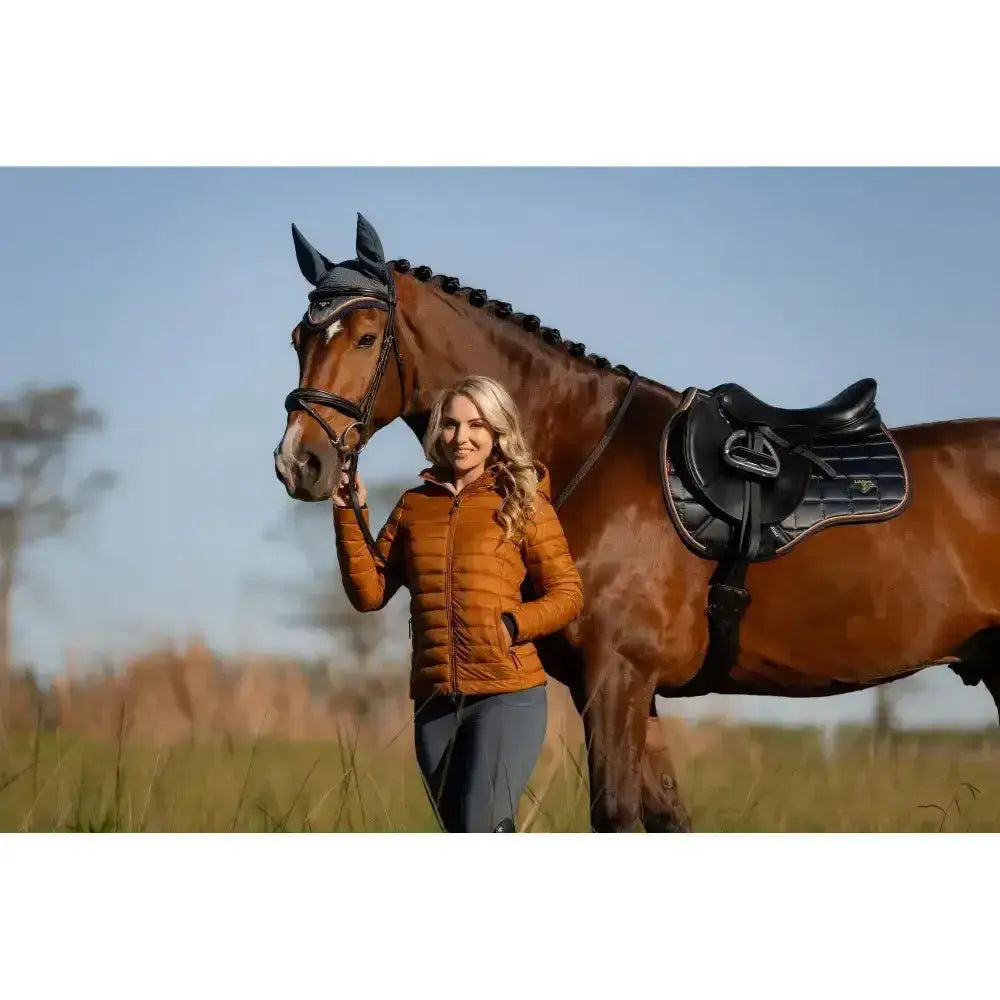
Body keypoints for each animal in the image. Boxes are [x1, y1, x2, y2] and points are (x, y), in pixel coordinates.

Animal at [273, 213, 1000, 832]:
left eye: (367, 338)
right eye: (299, 338)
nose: (298, 462)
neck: (582, 449)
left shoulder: (615, 677)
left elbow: (616, 814)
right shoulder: (633, 691)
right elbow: (665, 816)